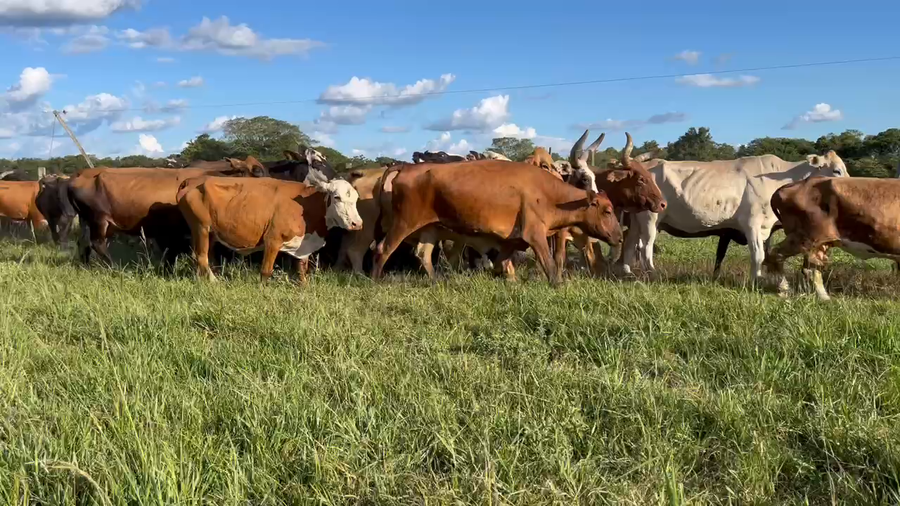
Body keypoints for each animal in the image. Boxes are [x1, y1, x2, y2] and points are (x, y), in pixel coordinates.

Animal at [176, 169, 362, 282]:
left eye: (356, 199)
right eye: (337, 197)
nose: (357, 224)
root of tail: (193, 180)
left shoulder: (304, 244)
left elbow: (302, 271)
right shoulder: (273, 239)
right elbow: (266, 271)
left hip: (209, 232)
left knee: (201, 256)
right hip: (201, 227)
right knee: (201, 257)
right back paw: (214, 282)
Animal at [371, 160, 622, 286]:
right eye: (608, 211)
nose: (619, 236)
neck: (550, 193)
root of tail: (405, 167)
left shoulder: (512, 241)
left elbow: (502, 263)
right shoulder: (535, 234)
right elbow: (550, 266)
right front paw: (558, 285)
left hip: (430, 229)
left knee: (423, 253)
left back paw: (437, 281)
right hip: (404, 223)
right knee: (383, 249)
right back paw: (375, 281)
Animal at [623, 151, 848, 282]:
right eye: (836, 170)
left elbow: (765, 254)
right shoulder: (751, 223)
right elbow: (757, 254)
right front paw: (756, 281)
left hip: (637, 219)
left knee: (630, 243)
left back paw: (626, 273)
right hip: (650, 217)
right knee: (645, 247)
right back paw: (653, 276)